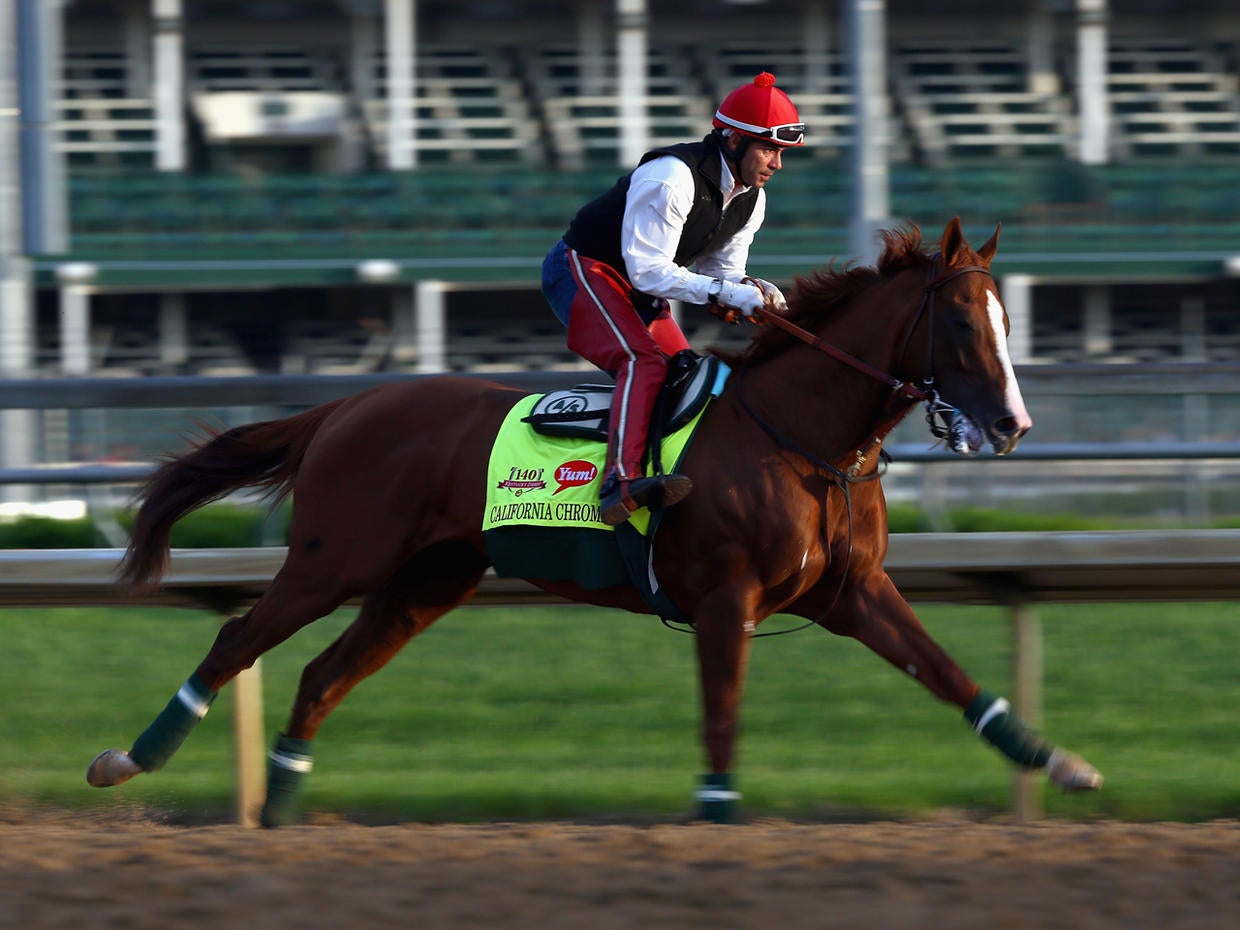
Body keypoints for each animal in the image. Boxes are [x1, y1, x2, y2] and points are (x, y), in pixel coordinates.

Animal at [87, 220, 1106, 828]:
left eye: (1008, 320)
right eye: (965, 326)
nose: (1012, 426)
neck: (802, 436)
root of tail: (345, 406)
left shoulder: (851, 592)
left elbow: (949, 675)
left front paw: (1058, 763)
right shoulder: (726, 598)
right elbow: (722, 715)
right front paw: (718, 813)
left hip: (423, 584)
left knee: (321, 673)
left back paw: (283, 807)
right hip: (335, 559)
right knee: (237, 639)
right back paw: (129, 759)